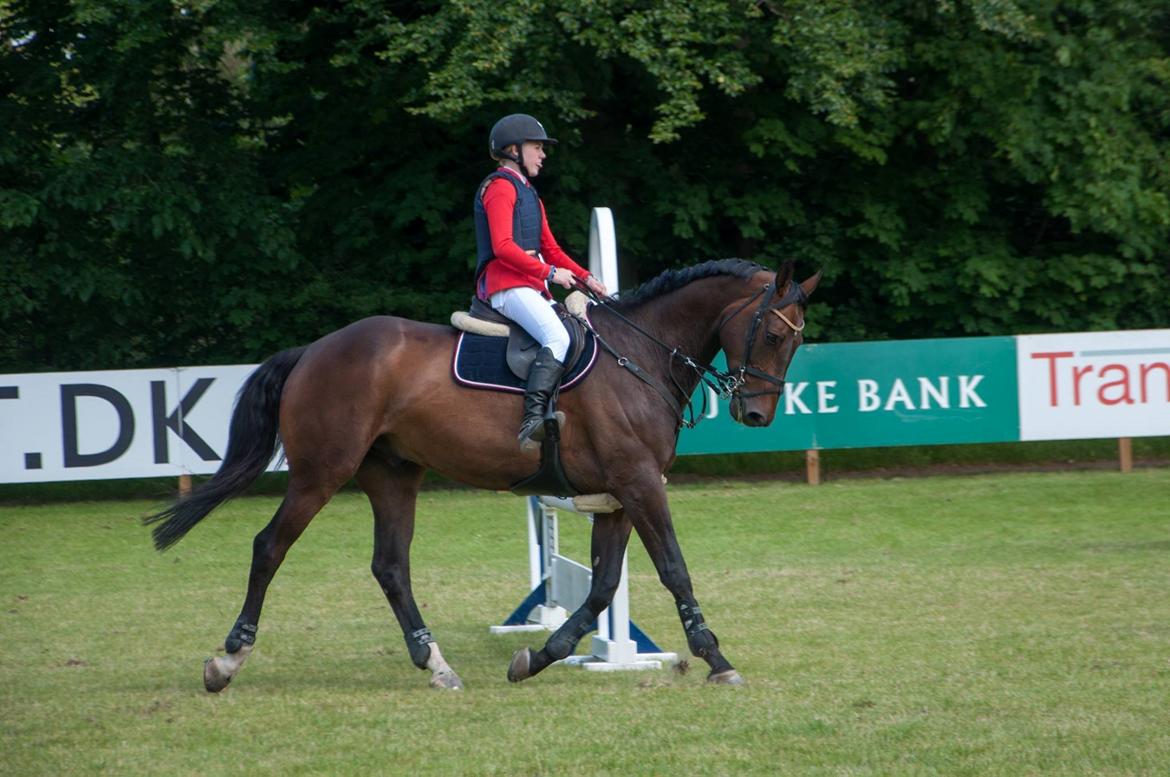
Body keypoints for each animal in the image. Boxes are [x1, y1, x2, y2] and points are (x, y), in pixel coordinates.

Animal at [146, 257, 823, 688]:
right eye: (770, 334)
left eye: (796, 342)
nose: (756, 414)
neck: (643, 354)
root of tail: (313, 350)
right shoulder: (638, 485)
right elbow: (674, 569)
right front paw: (717, 659)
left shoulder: (618, 495)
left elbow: (603, 587)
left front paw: (541, 656)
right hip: (321, 473)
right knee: (270, 546)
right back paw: (227, 662)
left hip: (393, 475)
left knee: (390, 566)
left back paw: (436, 664)